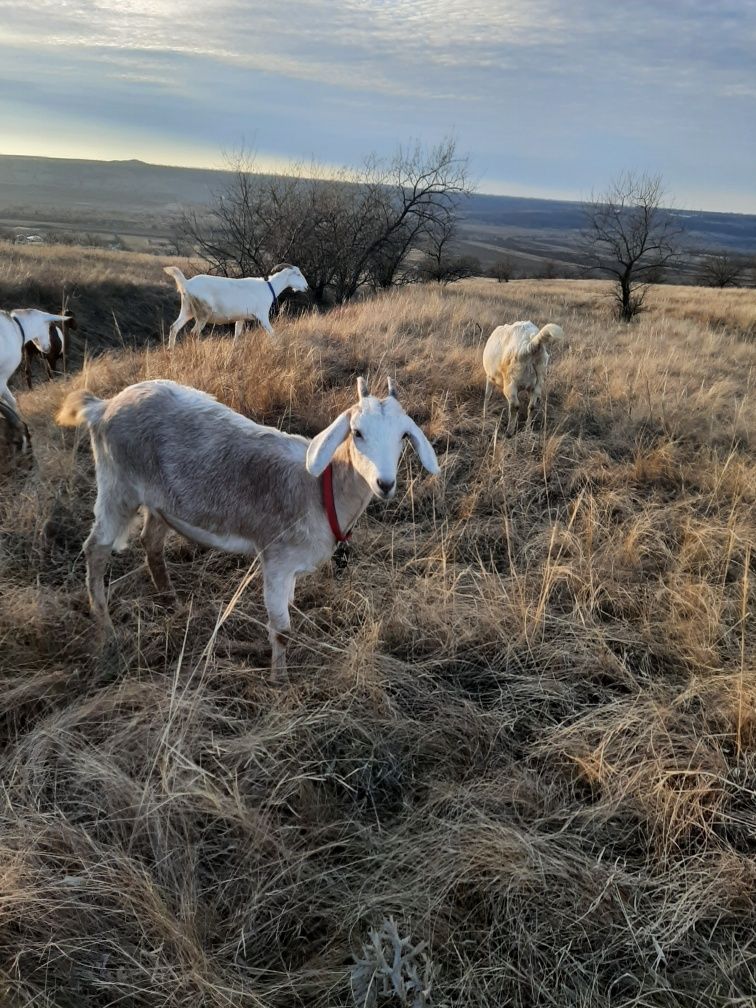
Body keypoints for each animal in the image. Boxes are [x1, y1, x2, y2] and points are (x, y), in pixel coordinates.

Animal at [57, 376, 437, 677]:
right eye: (357, 432)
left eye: (404, 435)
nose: (385, 484)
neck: (319, 488)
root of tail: (102, 406)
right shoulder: (276, 559)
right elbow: (282, 629)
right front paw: (280, 682)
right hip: (117, 486)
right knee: (96, 549)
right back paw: (107, 628)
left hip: (160, 502)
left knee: (151, 542)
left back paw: (172, 603)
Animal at [164, 264, 308, 350]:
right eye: (298, 274)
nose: (306, 287)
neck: (268, 287)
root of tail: (186, 284)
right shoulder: (262, 315)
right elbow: (272, 333)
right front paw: (278, 346)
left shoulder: (241, 318)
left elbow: (237, 335)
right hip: (202, 312)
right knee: (194, 332)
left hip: (187, 309)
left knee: (174, 327)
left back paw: (170, 350)